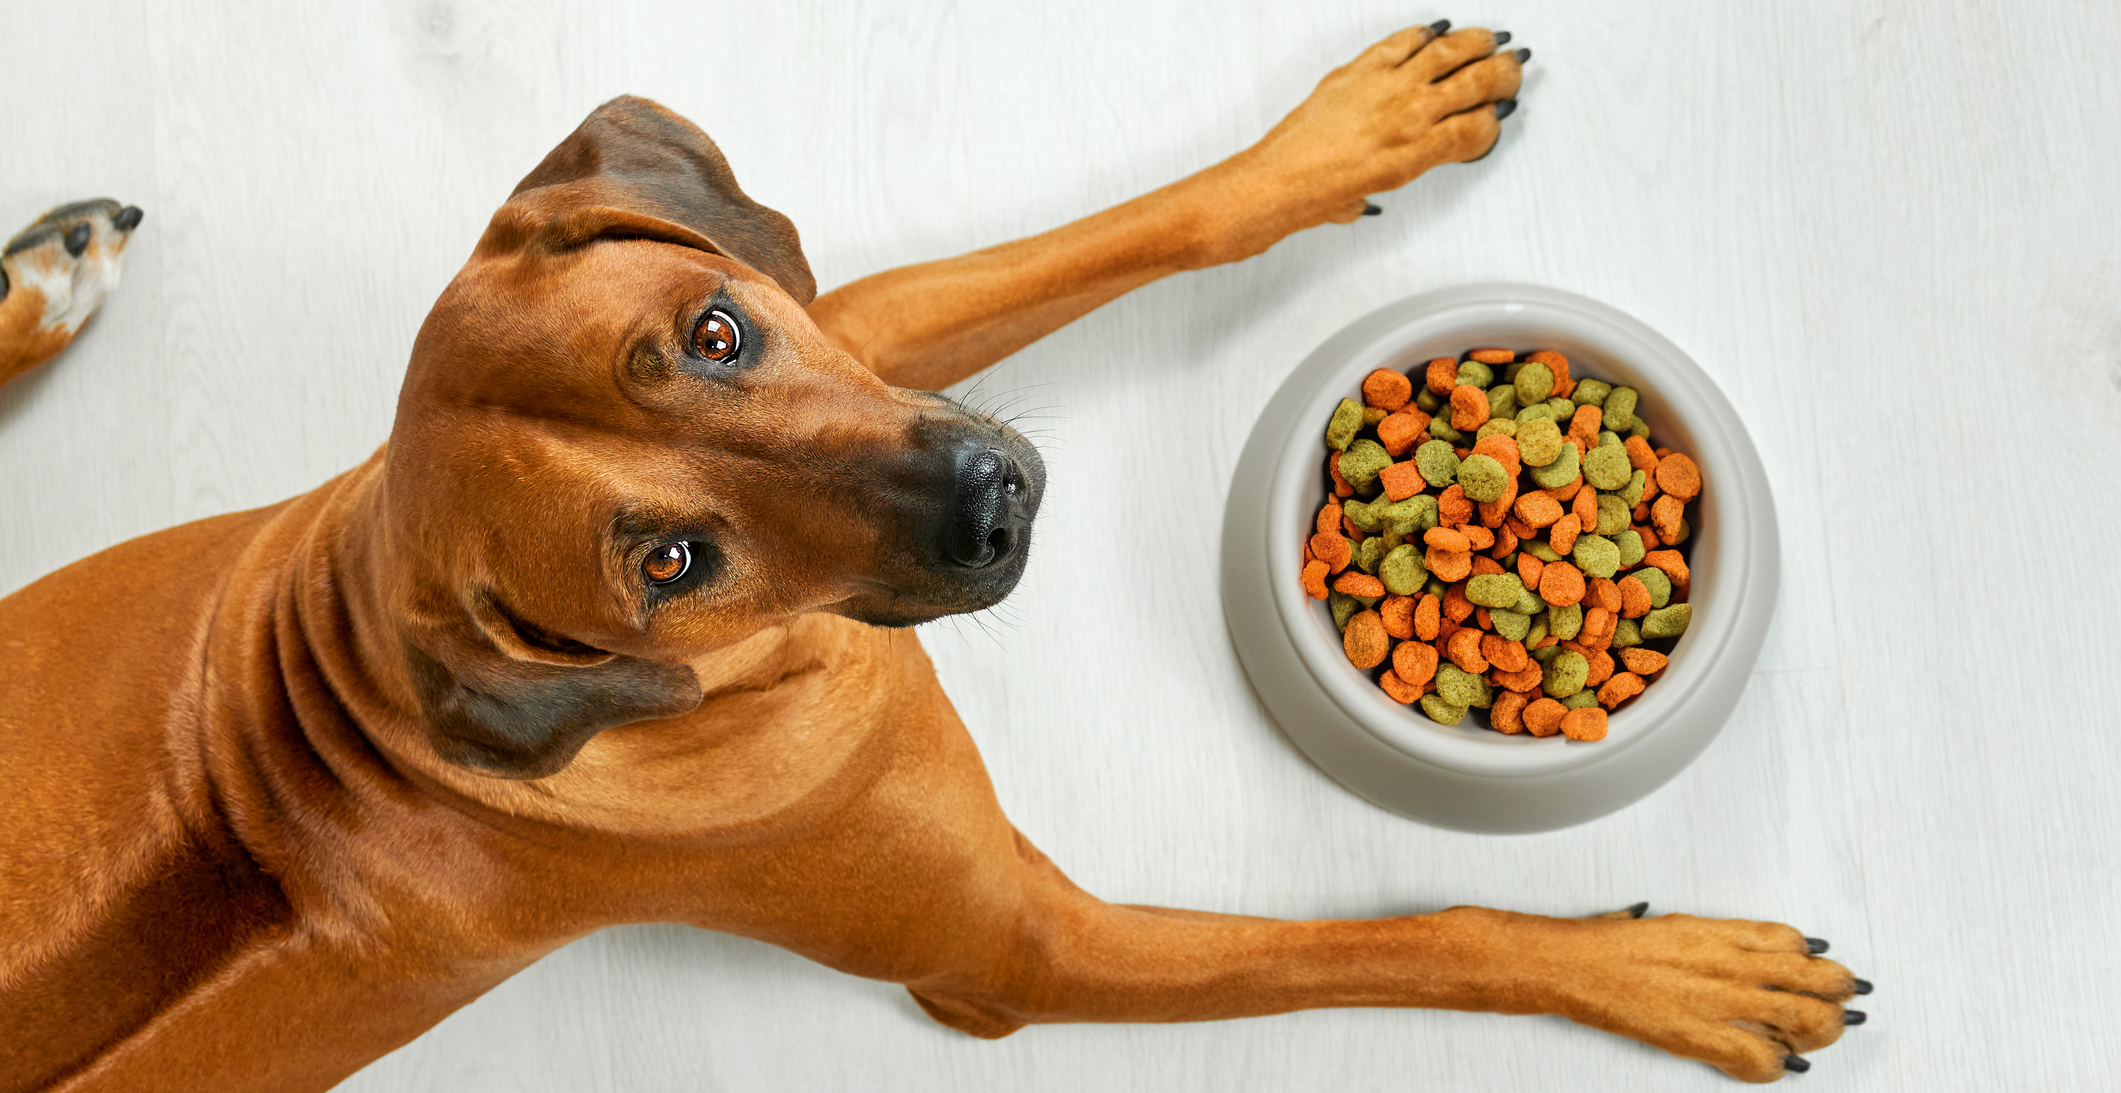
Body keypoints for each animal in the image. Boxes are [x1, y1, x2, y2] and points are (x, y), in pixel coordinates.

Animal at [0, 23, 1857, 1086]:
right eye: (666, 564)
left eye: (720, 333)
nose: (993, 502)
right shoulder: (1012, 954)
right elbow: (1397, 939)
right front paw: (1661, 969)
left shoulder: (861, 333)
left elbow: (1134, 229)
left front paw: (1351, 134)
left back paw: (44, 280)